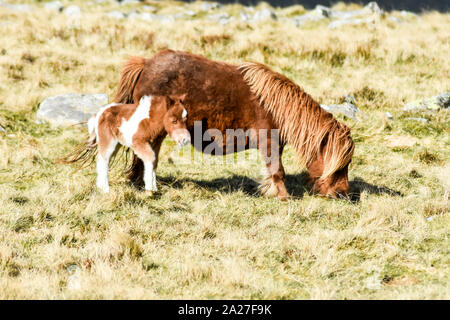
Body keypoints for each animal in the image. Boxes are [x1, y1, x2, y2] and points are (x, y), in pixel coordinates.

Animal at [112, 49, 356, 200]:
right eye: (340, 165)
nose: (343, 195)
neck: (276, 106)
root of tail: (146, 64)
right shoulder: (269, 142)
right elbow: (277, 171)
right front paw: (282, 196)